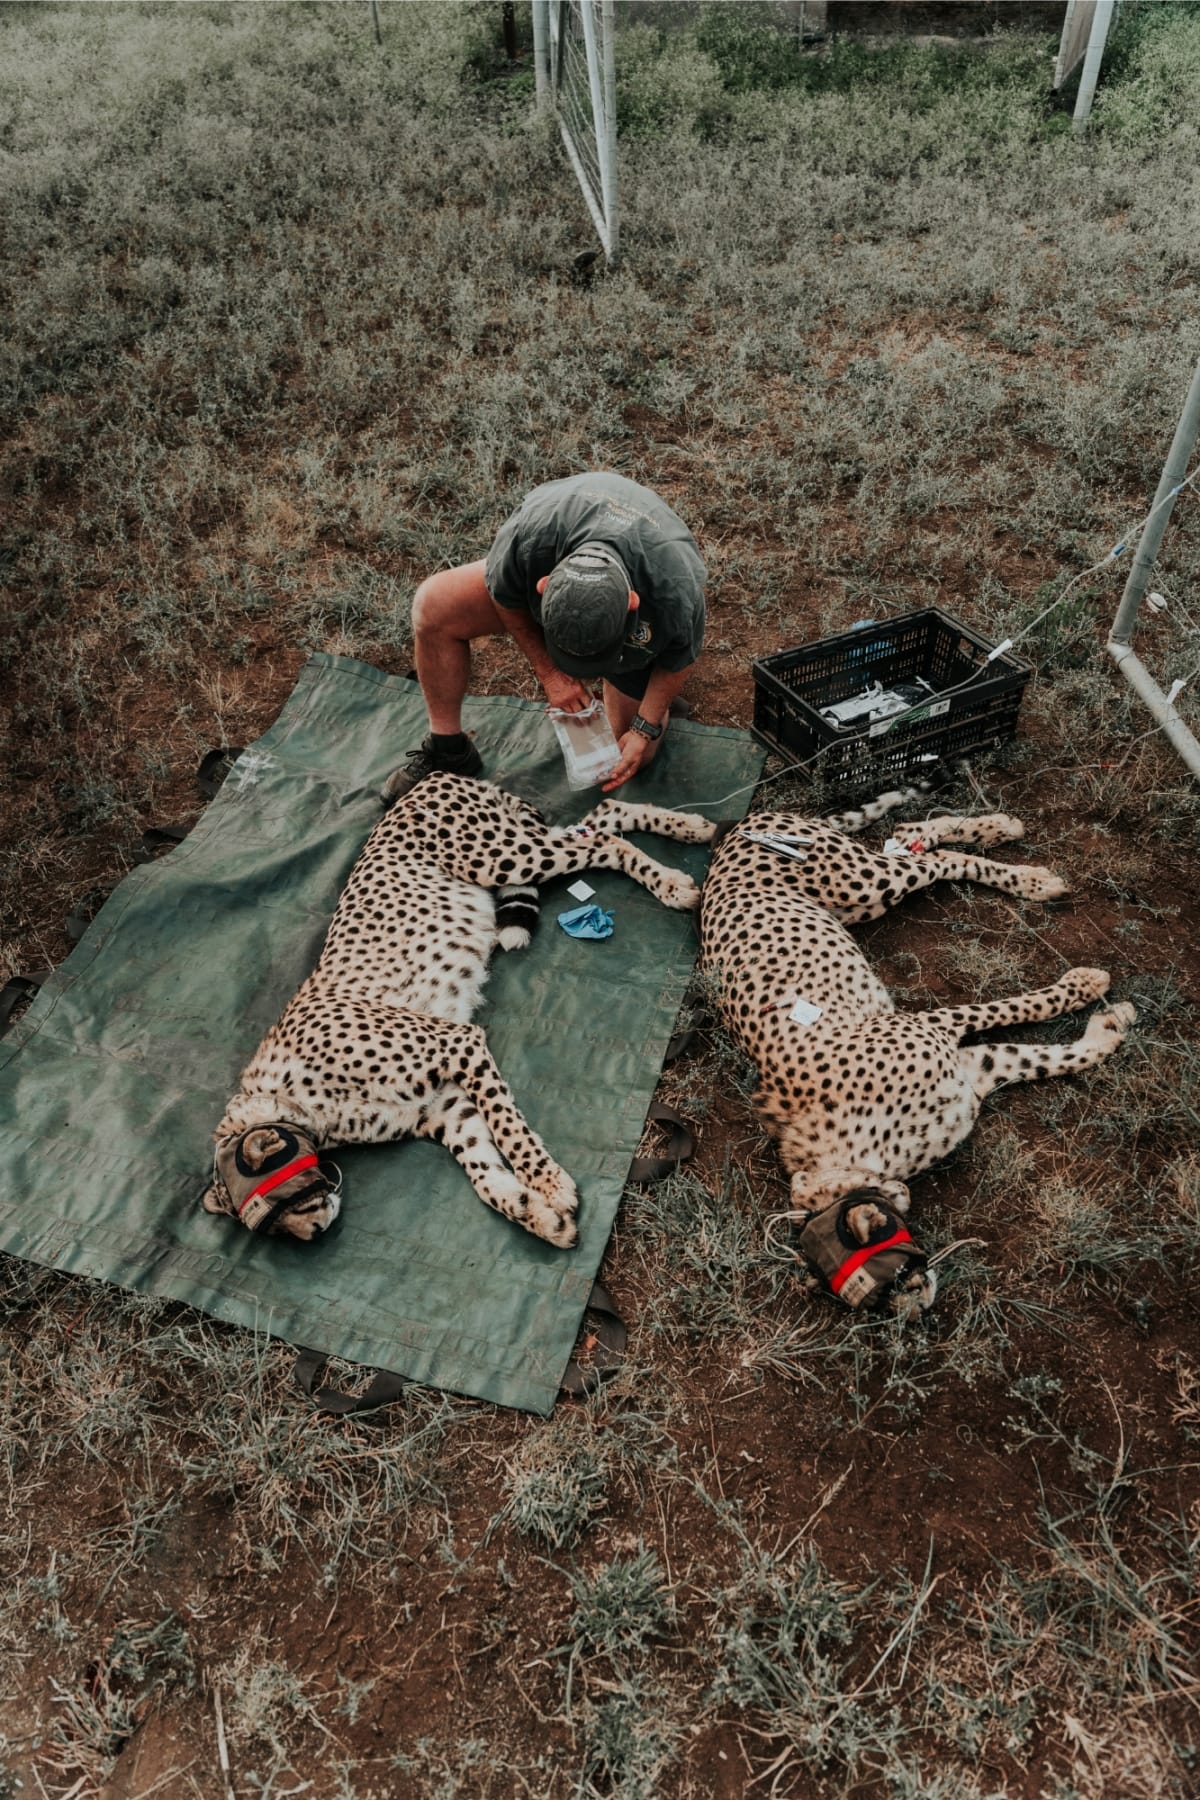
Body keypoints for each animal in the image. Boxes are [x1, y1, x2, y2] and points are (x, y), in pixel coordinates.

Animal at [202, 770, 701, 1242]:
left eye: (280, 1206)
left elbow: (508, 1129)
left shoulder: (457, 1042)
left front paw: (548, 1182)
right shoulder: (447, 1109)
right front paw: (539, 1216)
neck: (291, 1102)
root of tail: (432, 778)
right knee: (598, 817)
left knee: (599, 840)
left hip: (497, 855)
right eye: (269, 1227)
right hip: (513, 844)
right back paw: (690, 827)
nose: (315, 1233)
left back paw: (674, 883)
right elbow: (485, 1174)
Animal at [584, 786, 1136, 1312]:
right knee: (913, 841)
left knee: (935, 858)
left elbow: (1015, 1007)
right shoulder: (974, 1072)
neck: (841, 1149)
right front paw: (1109, 1024)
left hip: (861, 880)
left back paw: (1027, 870)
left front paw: (1086, 985)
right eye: (875, 1293)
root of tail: (737, 828)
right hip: (860, 899)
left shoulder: (931, 1027)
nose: (914, 1309)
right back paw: (989, 831)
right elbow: (1052, 1058)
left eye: (885, 1272)